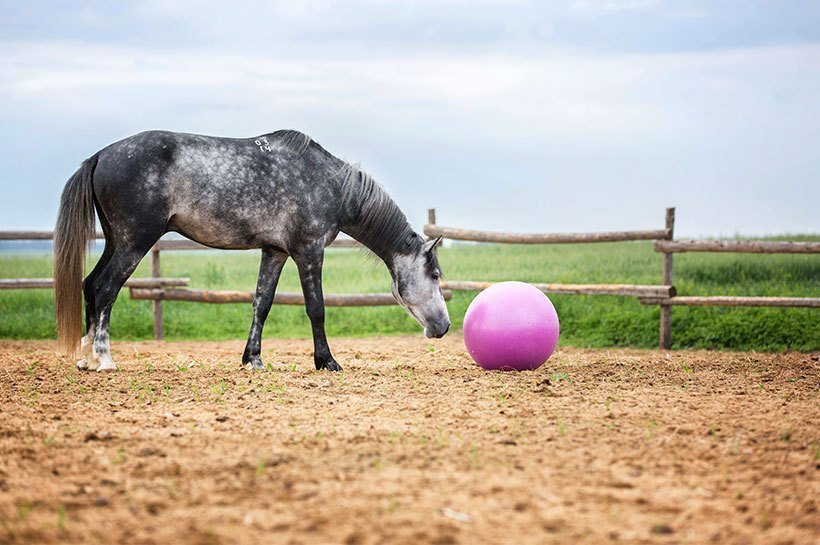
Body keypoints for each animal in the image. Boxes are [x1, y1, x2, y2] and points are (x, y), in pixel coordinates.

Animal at [54, 130, 452, 372]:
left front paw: (253, 360)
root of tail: (100, 156)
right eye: (434, 275)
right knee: (105, 288)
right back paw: (104, 359)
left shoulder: (274, 251)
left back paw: (86, 359)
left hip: (116, 241)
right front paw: (326, 362)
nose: (445, 326)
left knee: (90, 286)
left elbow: (262, 302)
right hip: (134, 242)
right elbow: (316, 308)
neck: (331, 184)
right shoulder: (309, 251)